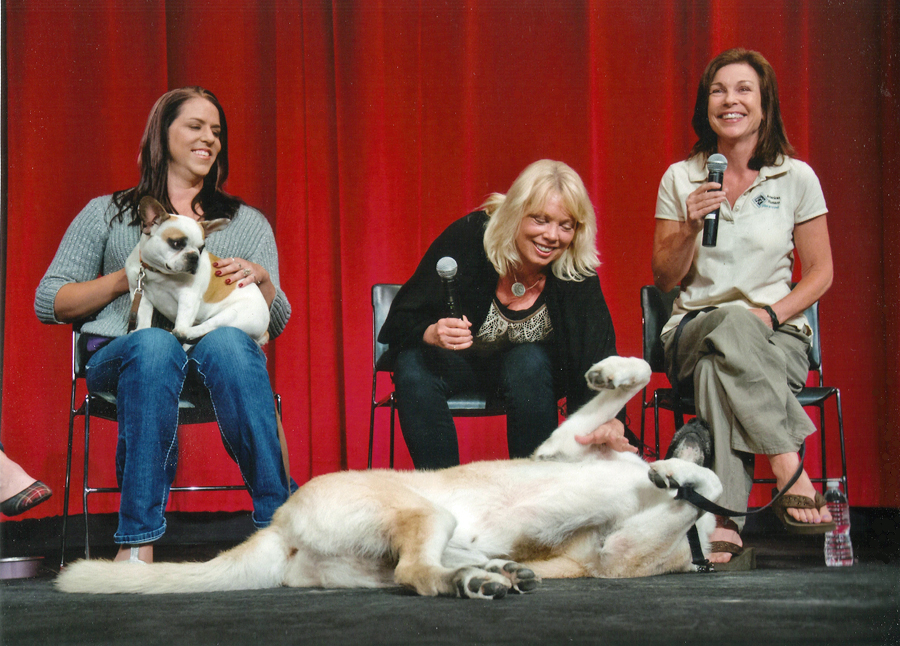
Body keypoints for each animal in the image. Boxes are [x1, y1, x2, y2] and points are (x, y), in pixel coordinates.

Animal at [56, 356, 720, 600]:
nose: (703, 422)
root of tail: (280, 525)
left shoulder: (615, 554)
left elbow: (705, 490)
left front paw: (683, 470)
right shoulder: (558, 449)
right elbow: (637, 376)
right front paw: (615, 374)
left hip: (425, 520)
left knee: (414, 573)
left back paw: (480, 578)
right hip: (433, 514)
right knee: (417, 568)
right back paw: (485, 575)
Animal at [125, 196, 268, 346]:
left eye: (201, 248)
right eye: (176, 243)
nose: (194, 256)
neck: (158, 272)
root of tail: (264, 333)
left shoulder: (188, 296)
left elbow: (183, 318)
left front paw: (180, 331)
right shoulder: (140, 294)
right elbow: (144, 316)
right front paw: (141, 329)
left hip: (231, 315)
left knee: (205, 327)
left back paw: (182, 333)